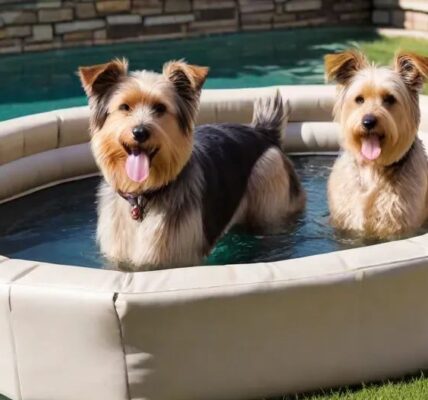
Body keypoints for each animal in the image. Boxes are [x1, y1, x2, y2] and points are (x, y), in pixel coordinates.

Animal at [78, 59, 306, 268]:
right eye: (124, 107)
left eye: (160, 108)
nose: (139, 132)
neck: (144, 194)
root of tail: (263, 132)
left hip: (270, 192)